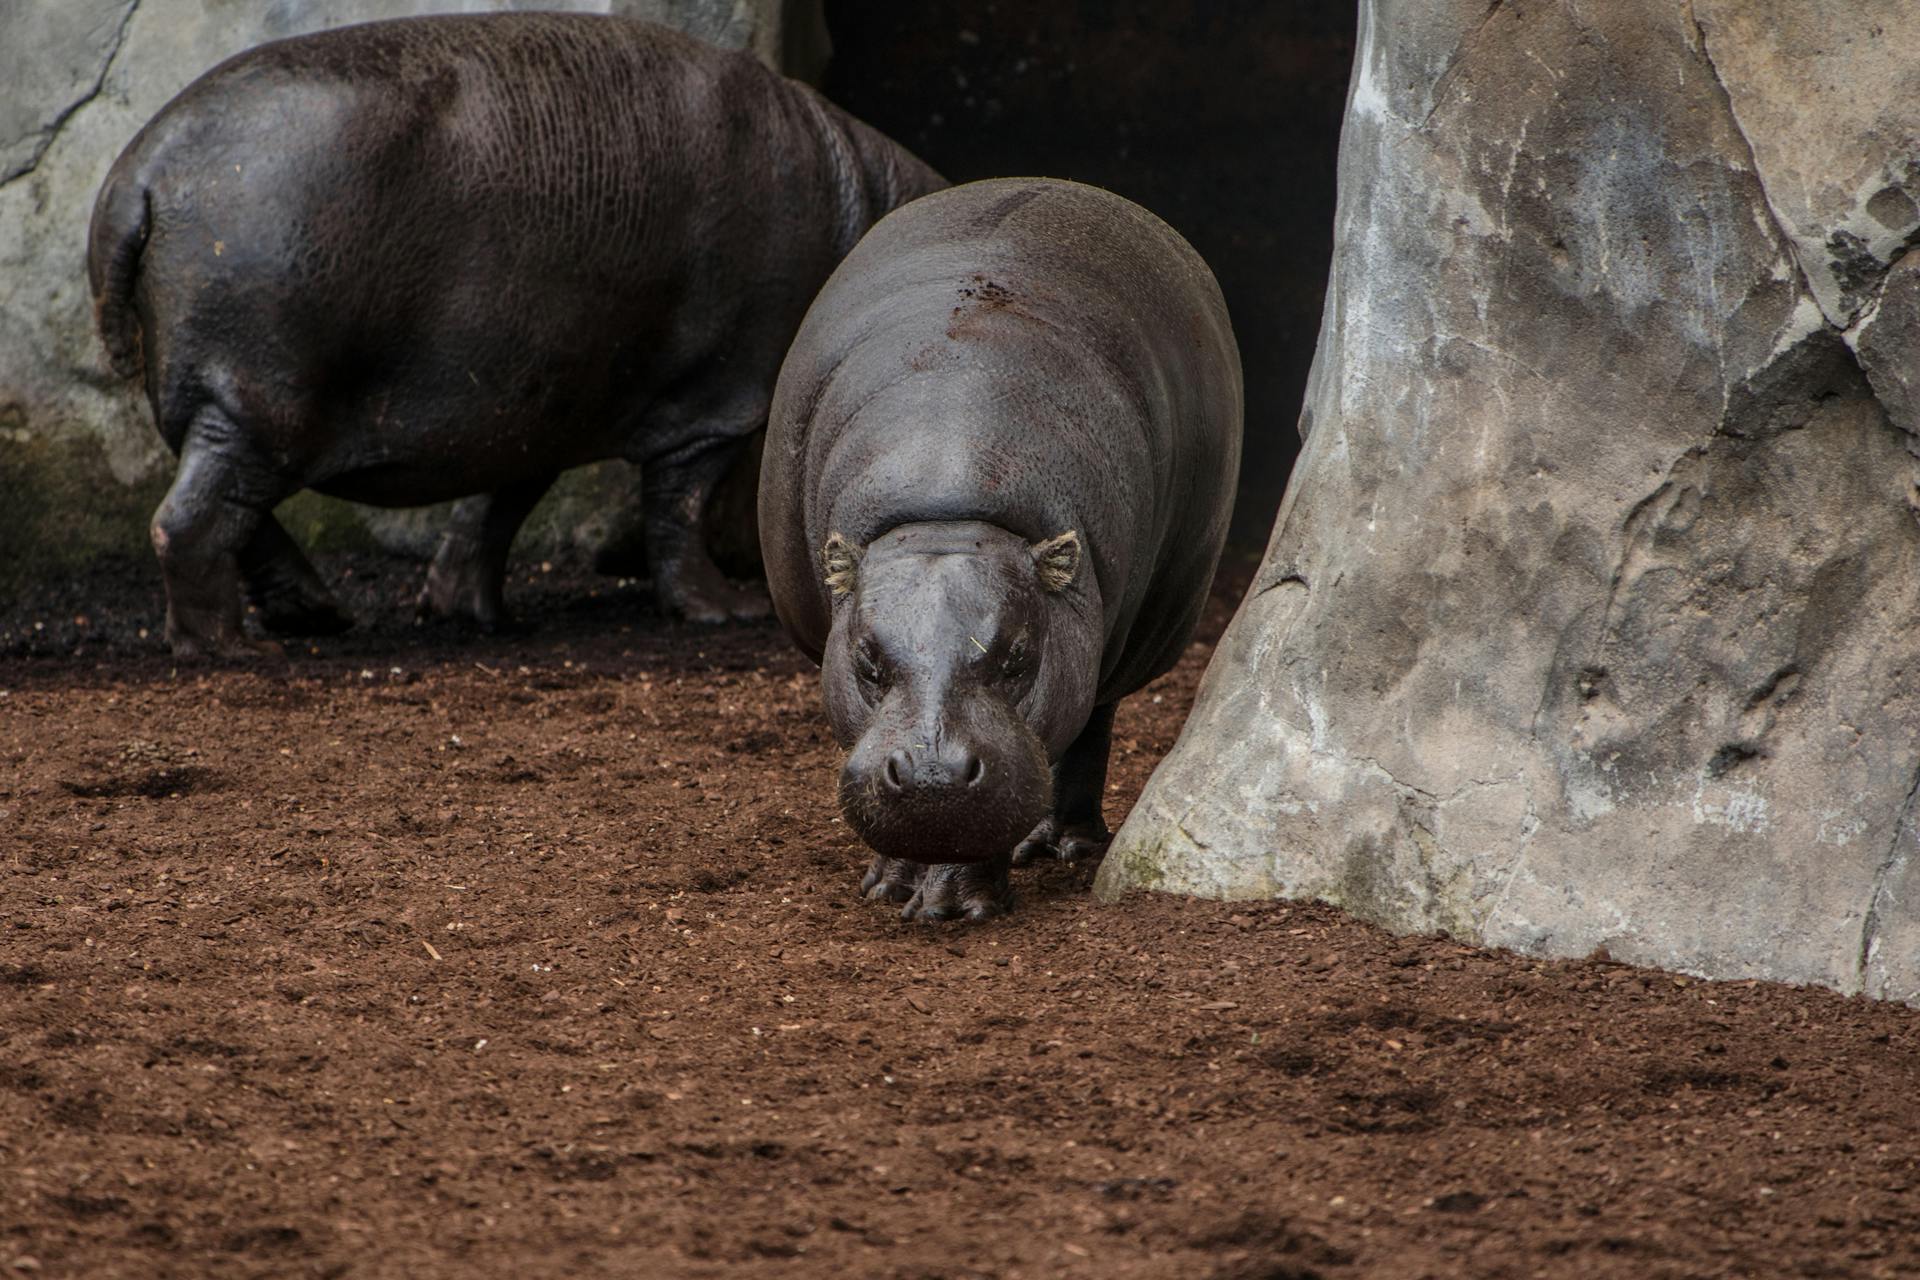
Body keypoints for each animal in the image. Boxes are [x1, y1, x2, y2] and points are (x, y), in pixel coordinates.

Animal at [90, 14, 944, 660]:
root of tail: (138, 170)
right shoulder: (717, 399)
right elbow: (678, 506)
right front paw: (725, 612)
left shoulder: (532, 398)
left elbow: (495, 508)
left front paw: (466, 611)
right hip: (261, 391)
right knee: (192, 521)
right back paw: (228, 647)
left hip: (226, 398)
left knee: (233, 512)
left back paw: (318, 615)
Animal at [764, 180, 1244, 921]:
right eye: (866, 661)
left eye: (1018, 657)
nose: (932, 776)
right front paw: (894, 884)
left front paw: (953, 902)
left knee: (1091, 721)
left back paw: (1062, 843)